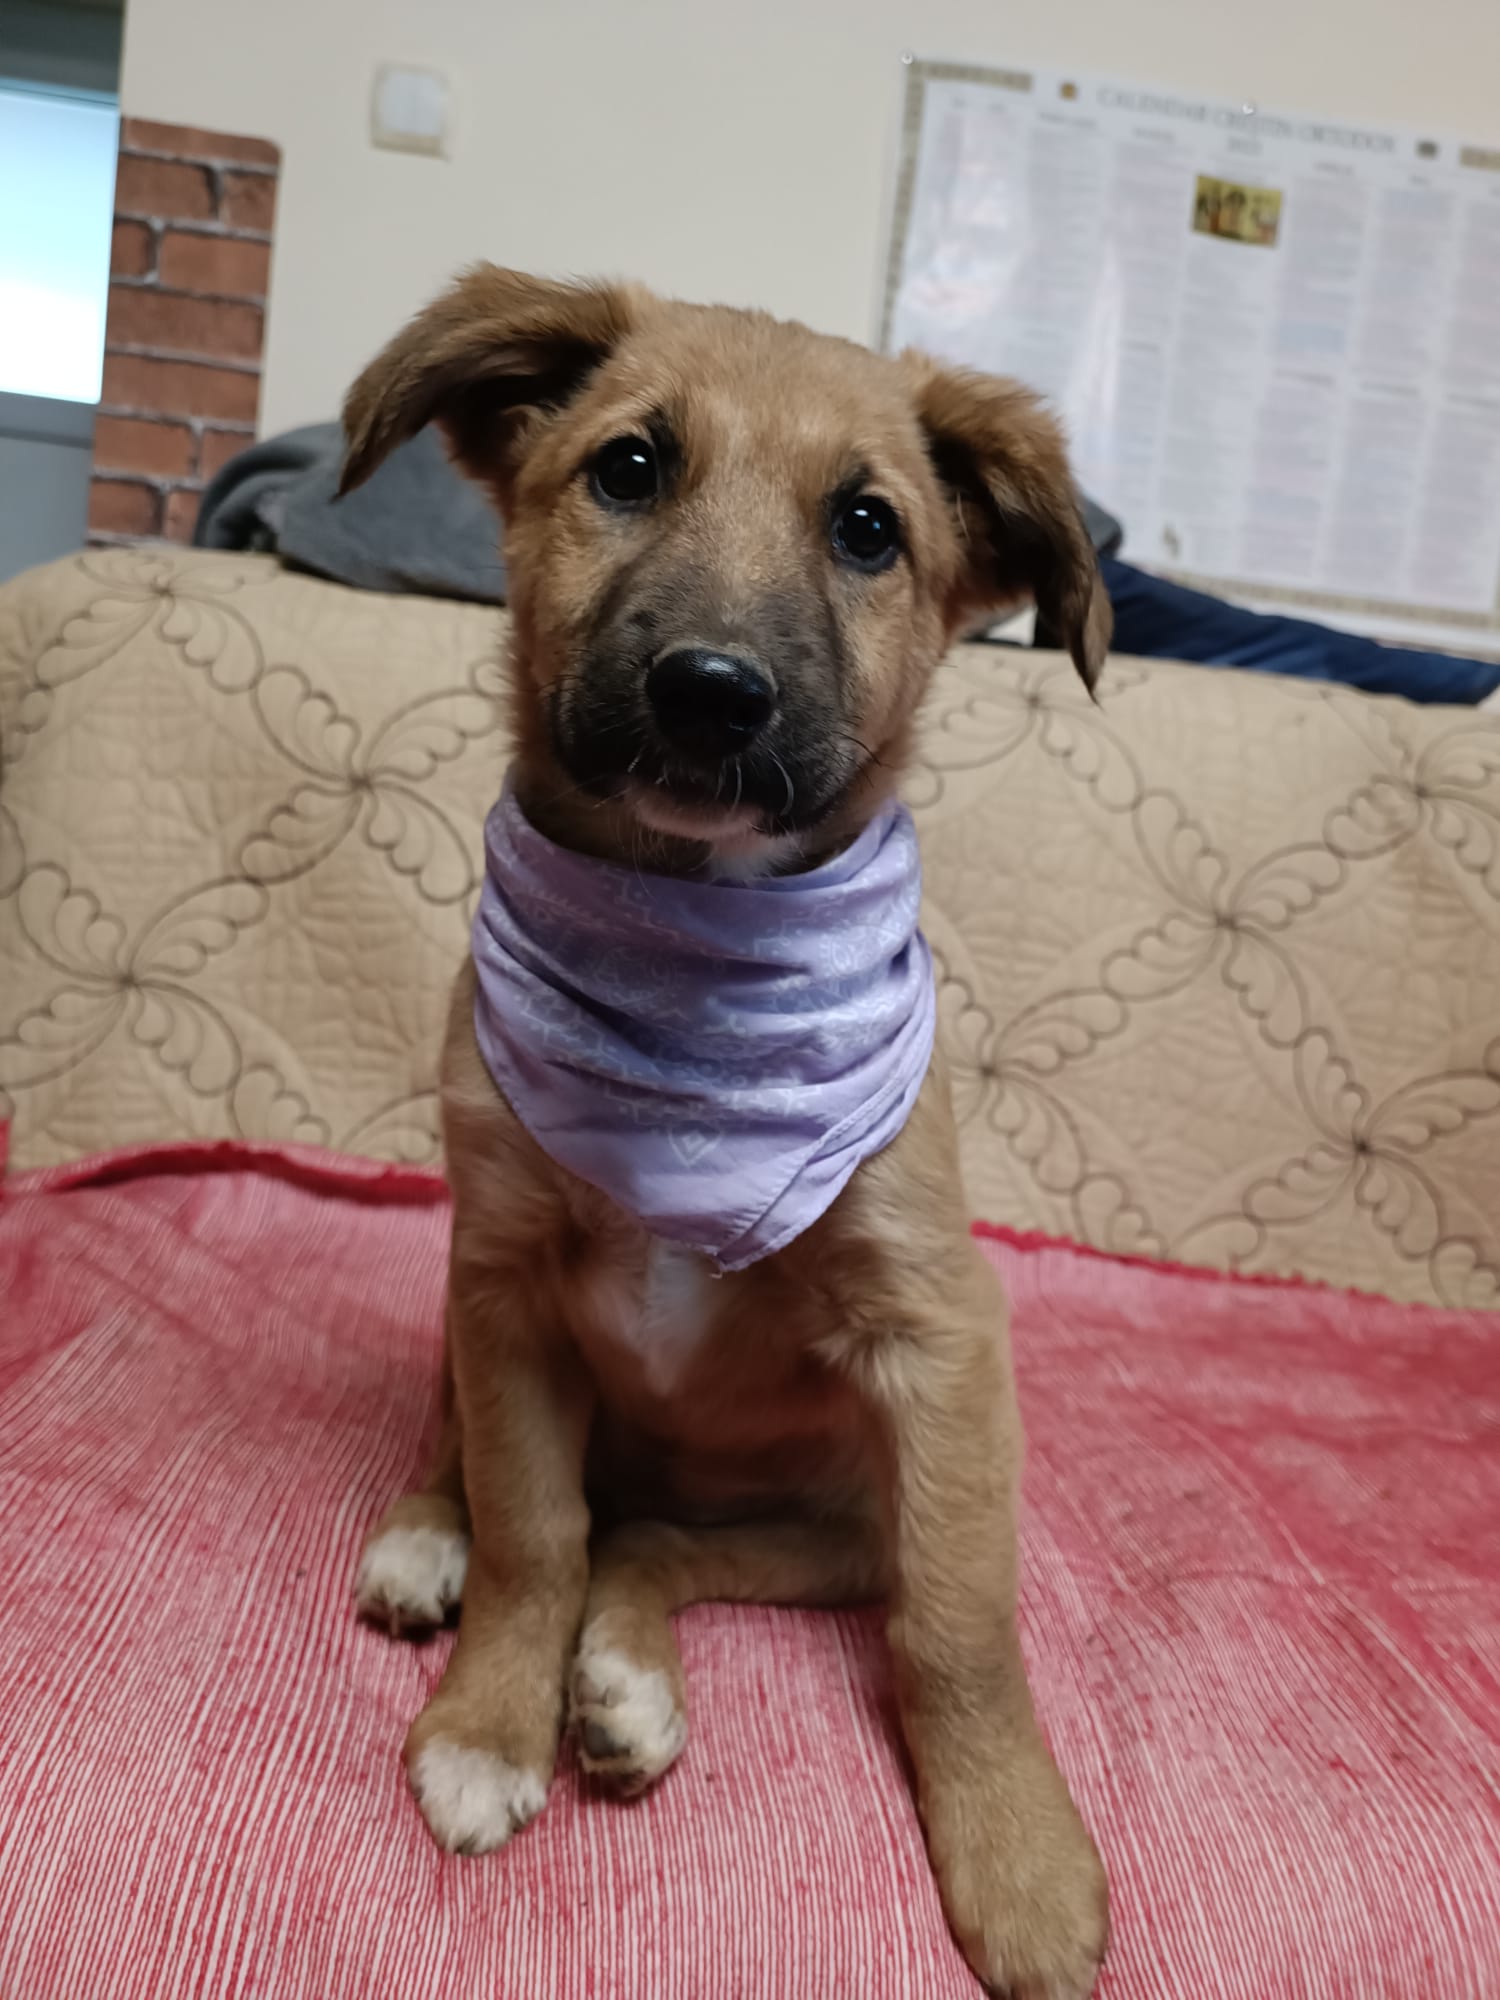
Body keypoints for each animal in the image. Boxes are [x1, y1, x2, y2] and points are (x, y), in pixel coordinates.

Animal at [341, 266, 1111, 1998]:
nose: (711, 691)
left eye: (870, 527)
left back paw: (627, 1675)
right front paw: (488, 1723)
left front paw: (1018, 1857)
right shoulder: (503, 1286)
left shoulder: (940, 1345)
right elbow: (533, 1531)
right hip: (463, 1312)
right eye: (628, 468)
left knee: (664, 1545)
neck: (692, 973)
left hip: (836, 1517)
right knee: (498, 1472)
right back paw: (427, 1544)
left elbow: (959, 1634)